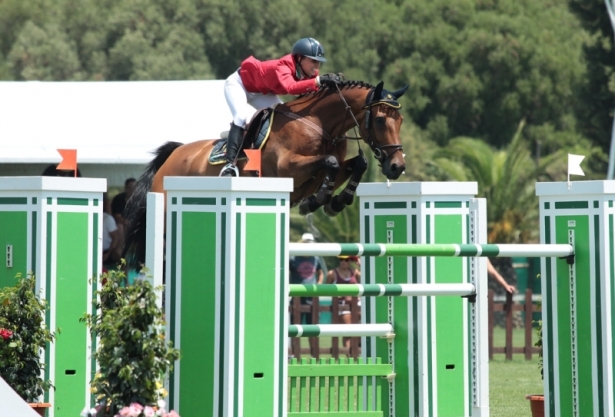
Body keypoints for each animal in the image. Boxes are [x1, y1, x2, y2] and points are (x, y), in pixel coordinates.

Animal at [123, 79, 410, 264]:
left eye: (400, 121)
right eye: (381, 120)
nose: (397, 167)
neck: (319, 124)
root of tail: (174, 153)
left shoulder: (319, 172)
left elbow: (356, 164)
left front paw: (335, 202)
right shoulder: (288, 169)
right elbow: (330, 162)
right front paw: (317, 201)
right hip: (163, 219)